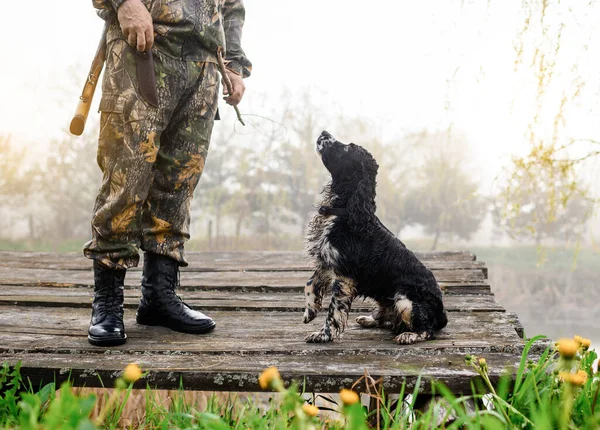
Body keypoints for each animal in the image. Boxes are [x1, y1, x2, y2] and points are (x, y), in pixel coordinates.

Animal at [304, 129, 446, 344]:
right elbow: (310, 283)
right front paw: (310, 311)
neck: (346, 209)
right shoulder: (328, 262)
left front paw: (323, 334)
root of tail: (443, 314)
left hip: (404, 297)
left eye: (347, 147)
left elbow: (333, 311)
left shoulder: (343, 275)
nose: (323, 132)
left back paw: (409, 335)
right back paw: (370, 319)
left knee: (427, 330)